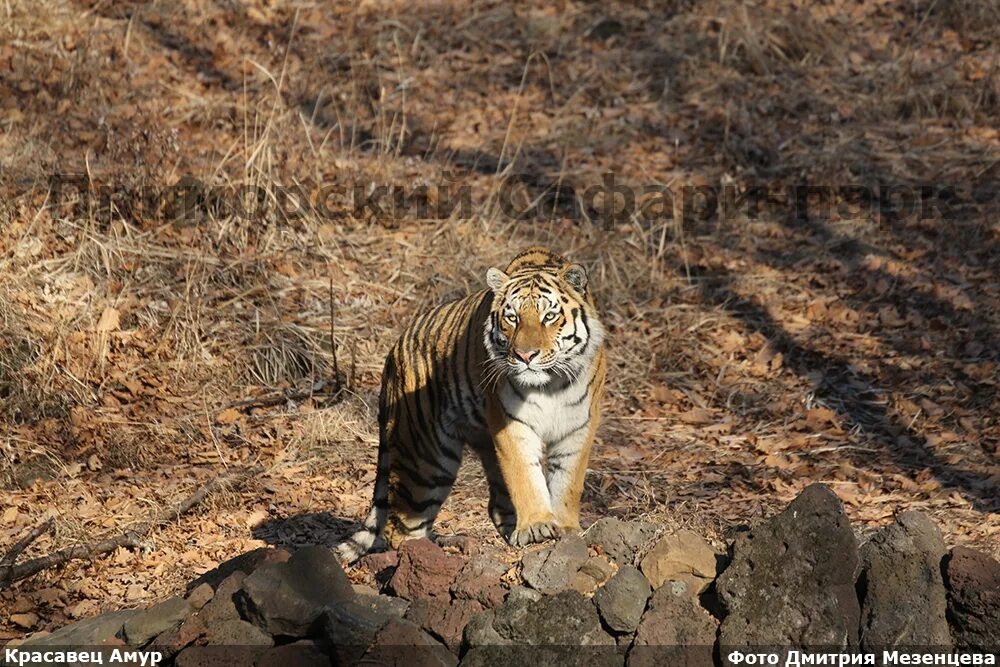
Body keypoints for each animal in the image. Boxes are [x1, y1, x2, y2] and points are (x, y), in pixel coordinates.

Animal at [336, 248, 604, 560]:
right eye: (512, 317)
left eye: (549, 316)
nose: (525, 356)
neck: (549, 386)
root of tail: (393, 352)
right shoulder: (511, 423)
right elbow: (526, 477)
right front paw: (537, 525)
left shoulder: (578, 426)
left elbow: (568, 482)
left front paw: (567, 529)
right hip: (426, 460)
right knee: (400, 526)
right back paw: (428, 556)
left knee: (494, 506)